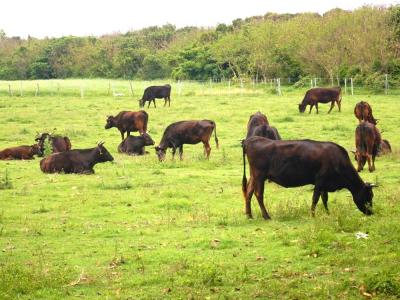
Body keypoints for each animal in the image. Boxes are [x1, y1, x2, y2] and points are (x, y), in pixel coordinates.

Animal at [241, 137, 376, 219]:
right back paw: (266, 216)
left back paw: (249, 215)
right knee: (258, 194)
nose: (371, 212)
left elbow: (324, 198)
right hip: (259, 175)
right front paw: (312, 215)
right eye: (369, 196)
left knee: (249, 192)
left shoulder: (325, 184)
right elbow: (315, 198)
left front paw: (327, 212)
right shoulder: (320, 180)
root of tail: (250, 140)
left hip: (254, 175)